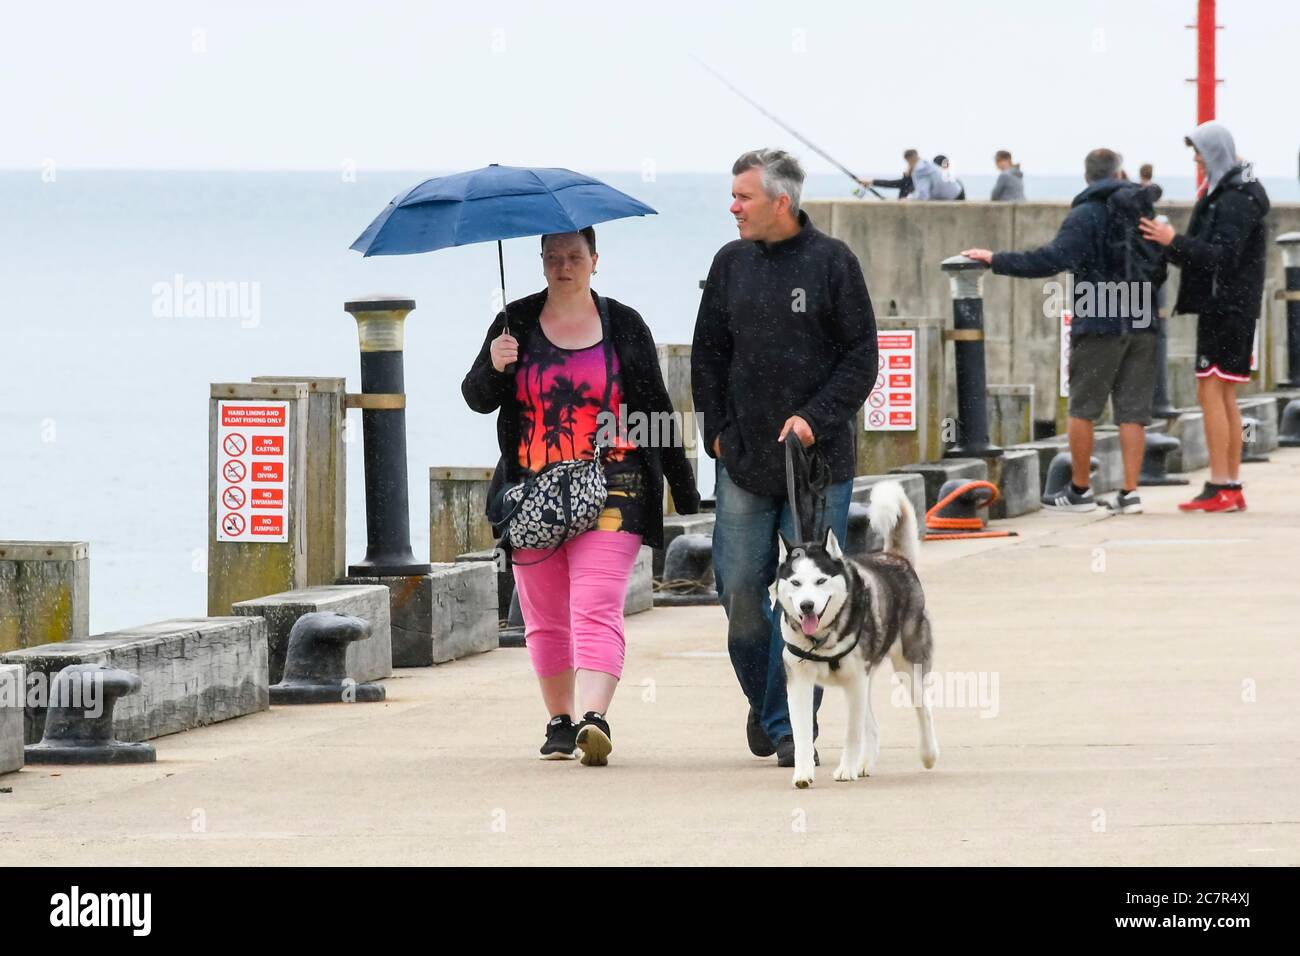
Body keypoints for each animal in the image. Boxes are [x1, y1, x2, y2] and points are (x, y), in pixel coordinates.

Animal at [764, 481, 941, 790]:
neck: (823, 638)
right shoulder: (800, 681)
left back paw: (927, 754)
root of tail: (894, 557)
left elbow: (852, 731)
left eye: (820, 581)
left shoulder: (855, 680)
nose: (806, 606)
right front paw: (803, 773)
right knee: (873, 725)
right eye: (796, 583)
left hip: (909, 663)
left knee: (923, 708)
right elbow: (801, 733)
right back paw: (865, 763)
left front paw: (845, 769)